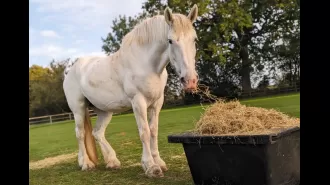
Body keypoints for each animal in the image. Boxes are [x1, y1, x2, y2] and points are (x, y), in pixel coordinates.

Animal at [63, 4, 200, 178]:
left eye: (194, 39)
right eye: (170, 41)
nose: (190, 80)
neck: (146, 64)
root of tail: (71, 70)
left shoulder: (157, 103)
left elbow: (153, 131)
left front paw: (159, 163)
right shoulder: (138, 102)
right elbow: (144, 132)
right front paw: (150, 166)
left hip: (104, 110)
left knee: (97, 133)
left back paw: (112, 161)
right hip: (78, 109)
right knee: (80, 133)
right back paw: (85, 163)